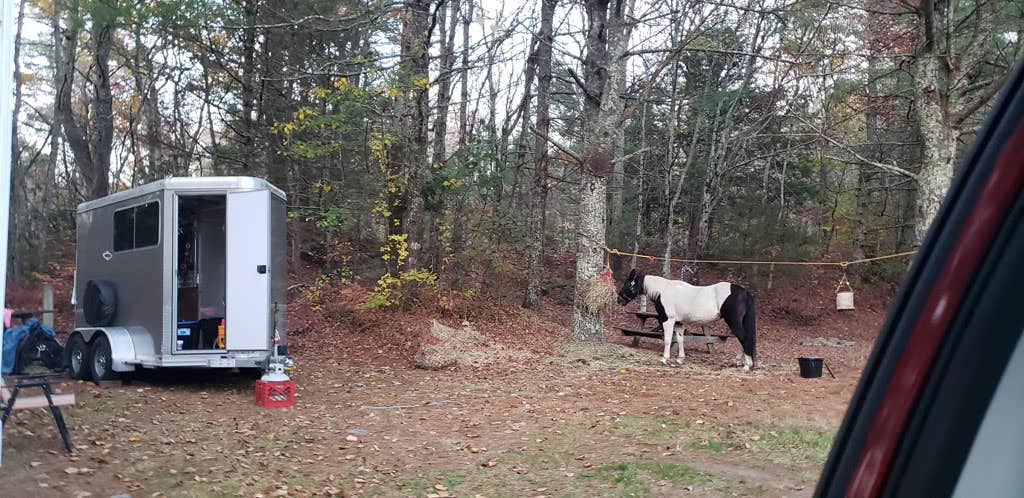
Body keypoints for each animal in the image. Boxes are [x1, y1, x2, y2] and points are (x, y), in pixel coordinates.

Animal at [617, 269, 758, 370]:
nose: (619, 300)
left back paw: (746, 365)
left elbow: (668, 339)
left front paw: (664, 359)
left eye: (627, 284)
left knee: (744, 338)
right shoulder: (679, 323)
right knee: (743, 339)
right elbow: (680, 339)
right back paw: (739, 362)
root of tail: (744, 292)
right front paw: (680, 359)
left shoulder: (668, 320)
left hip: (733, 322)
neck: (663, 290)